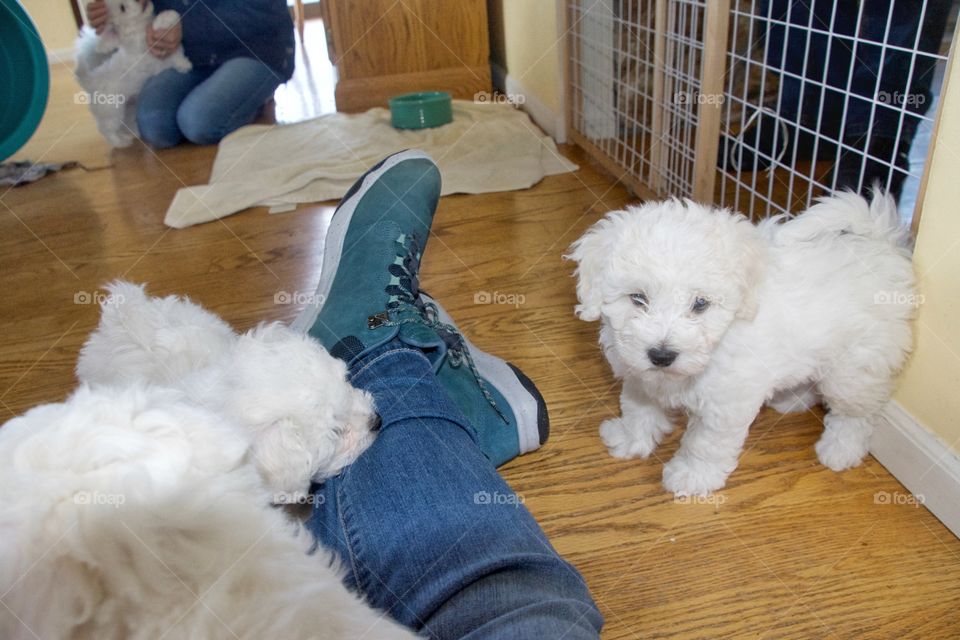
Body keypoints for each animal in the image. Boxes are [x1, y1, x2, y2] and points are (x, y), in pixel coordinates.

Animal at [75, 0, 191, 146]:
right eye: (123, 8)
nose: (138, 1)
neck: (137, 28)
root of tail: (91, 81)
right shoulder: (145, 44)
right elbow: (157, 27)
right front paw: (165, 17)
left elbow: (177, 56)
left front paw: (184, 65)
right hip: (112, 111)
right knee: (107, 130)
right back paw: (120, 142)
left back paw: (130, 133)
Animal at [568, 188, 920, 498]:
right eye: (638, 298)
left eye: (700, 304)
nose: (662, 355)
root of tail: (882, 243)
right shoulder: (641, 377)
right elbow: (637, 409)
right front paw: (628, 438)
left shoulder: (724, 406)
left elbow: (705, 444)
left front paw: (692, 476)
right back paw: (792, 399)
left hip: (855, 368)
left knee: (857, 413)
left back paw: (840, 449)